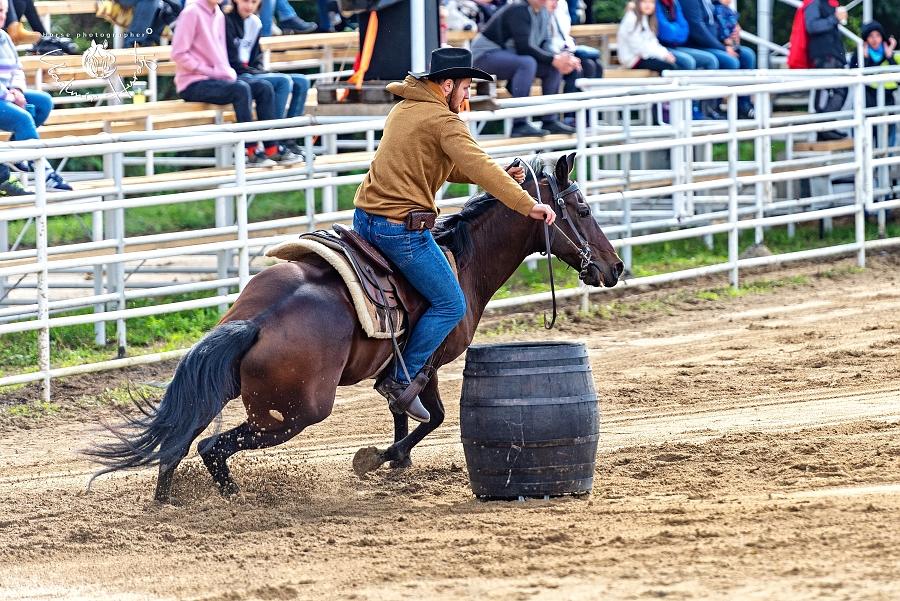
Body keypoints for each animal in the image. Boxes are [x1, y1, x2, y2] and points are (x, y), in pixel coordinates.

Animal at [88, 153, 624, 503]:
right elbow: (432, 417)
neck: (464, 262)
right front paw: (380, 459)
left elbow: (405, 411)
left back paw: (167, 500)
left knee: (179, 441)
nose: (614, 267)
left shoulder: (406, 369)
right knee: (211, 447)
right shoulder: (427, 362)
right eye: (583, 209)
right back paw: (233, 499)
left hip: (222, 387)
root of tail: (256, 321)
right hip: (293, 414)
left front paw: (398, 462)